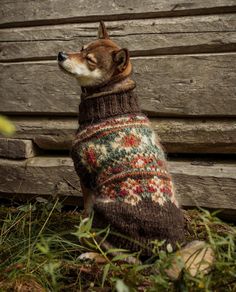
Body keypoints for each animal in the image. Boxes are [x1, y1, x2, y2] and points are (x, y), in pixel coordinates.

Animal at [57, 20, 214, 272]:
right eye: (80, 49)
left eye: (89, 60)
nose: (61, 54)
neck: (111, 99)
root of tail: (163, 253)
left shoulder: (85, 176)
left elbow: (84, 210)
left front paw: (81, 235)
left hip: (106, 212)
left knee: (125, 259)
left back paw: (91, 255)